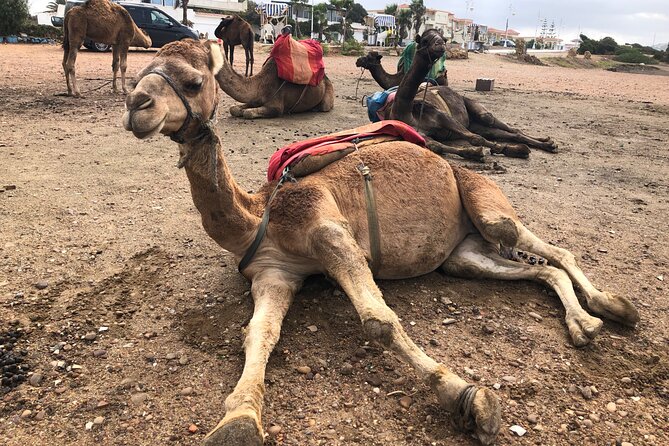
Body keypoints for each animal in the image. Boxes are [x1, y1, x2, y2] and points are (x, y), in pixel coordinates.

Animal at [356, 37, 558, 160]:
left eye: (369, 56)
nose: (358, 60)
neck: (405, 110)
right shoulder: (418, 134)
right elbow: (437, 147)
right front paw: (477, 153)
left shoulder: (442, 116)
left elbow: (475, 138)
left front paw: (498, 150)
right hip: (475, 123)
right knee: (501, 133)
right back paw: (543, 144)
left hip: (476, 111)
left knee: (500, 125)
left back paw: (547, 143)